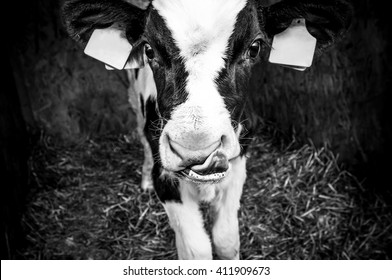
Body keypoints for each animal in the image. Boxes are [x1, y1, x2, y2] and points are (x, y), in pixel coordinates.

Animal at [62, 0, 352, 260]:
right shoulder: (166, 179)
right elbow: (196, 251)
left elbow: (226, 241)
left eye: (254, 48)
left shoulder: (238, 166)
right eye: (149, 50)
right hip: (134, 100)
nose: (196, 148)